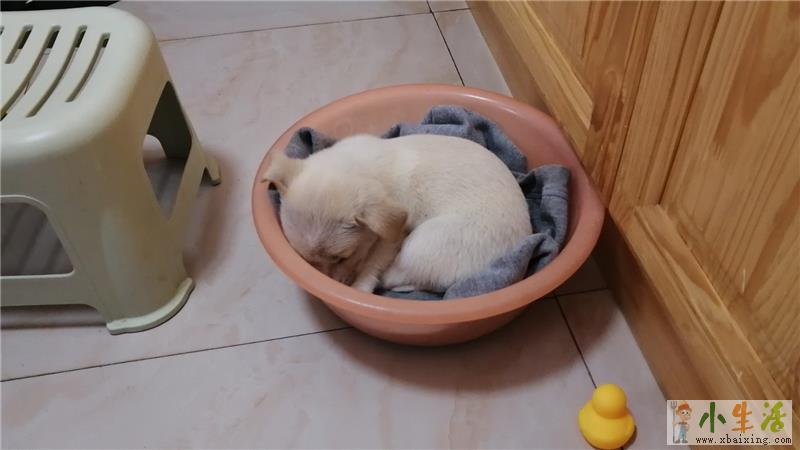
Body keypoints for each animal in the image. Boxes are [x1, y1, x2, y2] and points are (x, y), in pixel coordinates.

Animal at [262, 134, 531, 294]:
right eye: (306, 259)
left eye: (342, 257)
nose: (329, 283)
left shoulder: (390, 240)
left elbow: (371, 266)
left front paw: (358, 287)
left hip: (421, 245)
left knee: (394, 278)